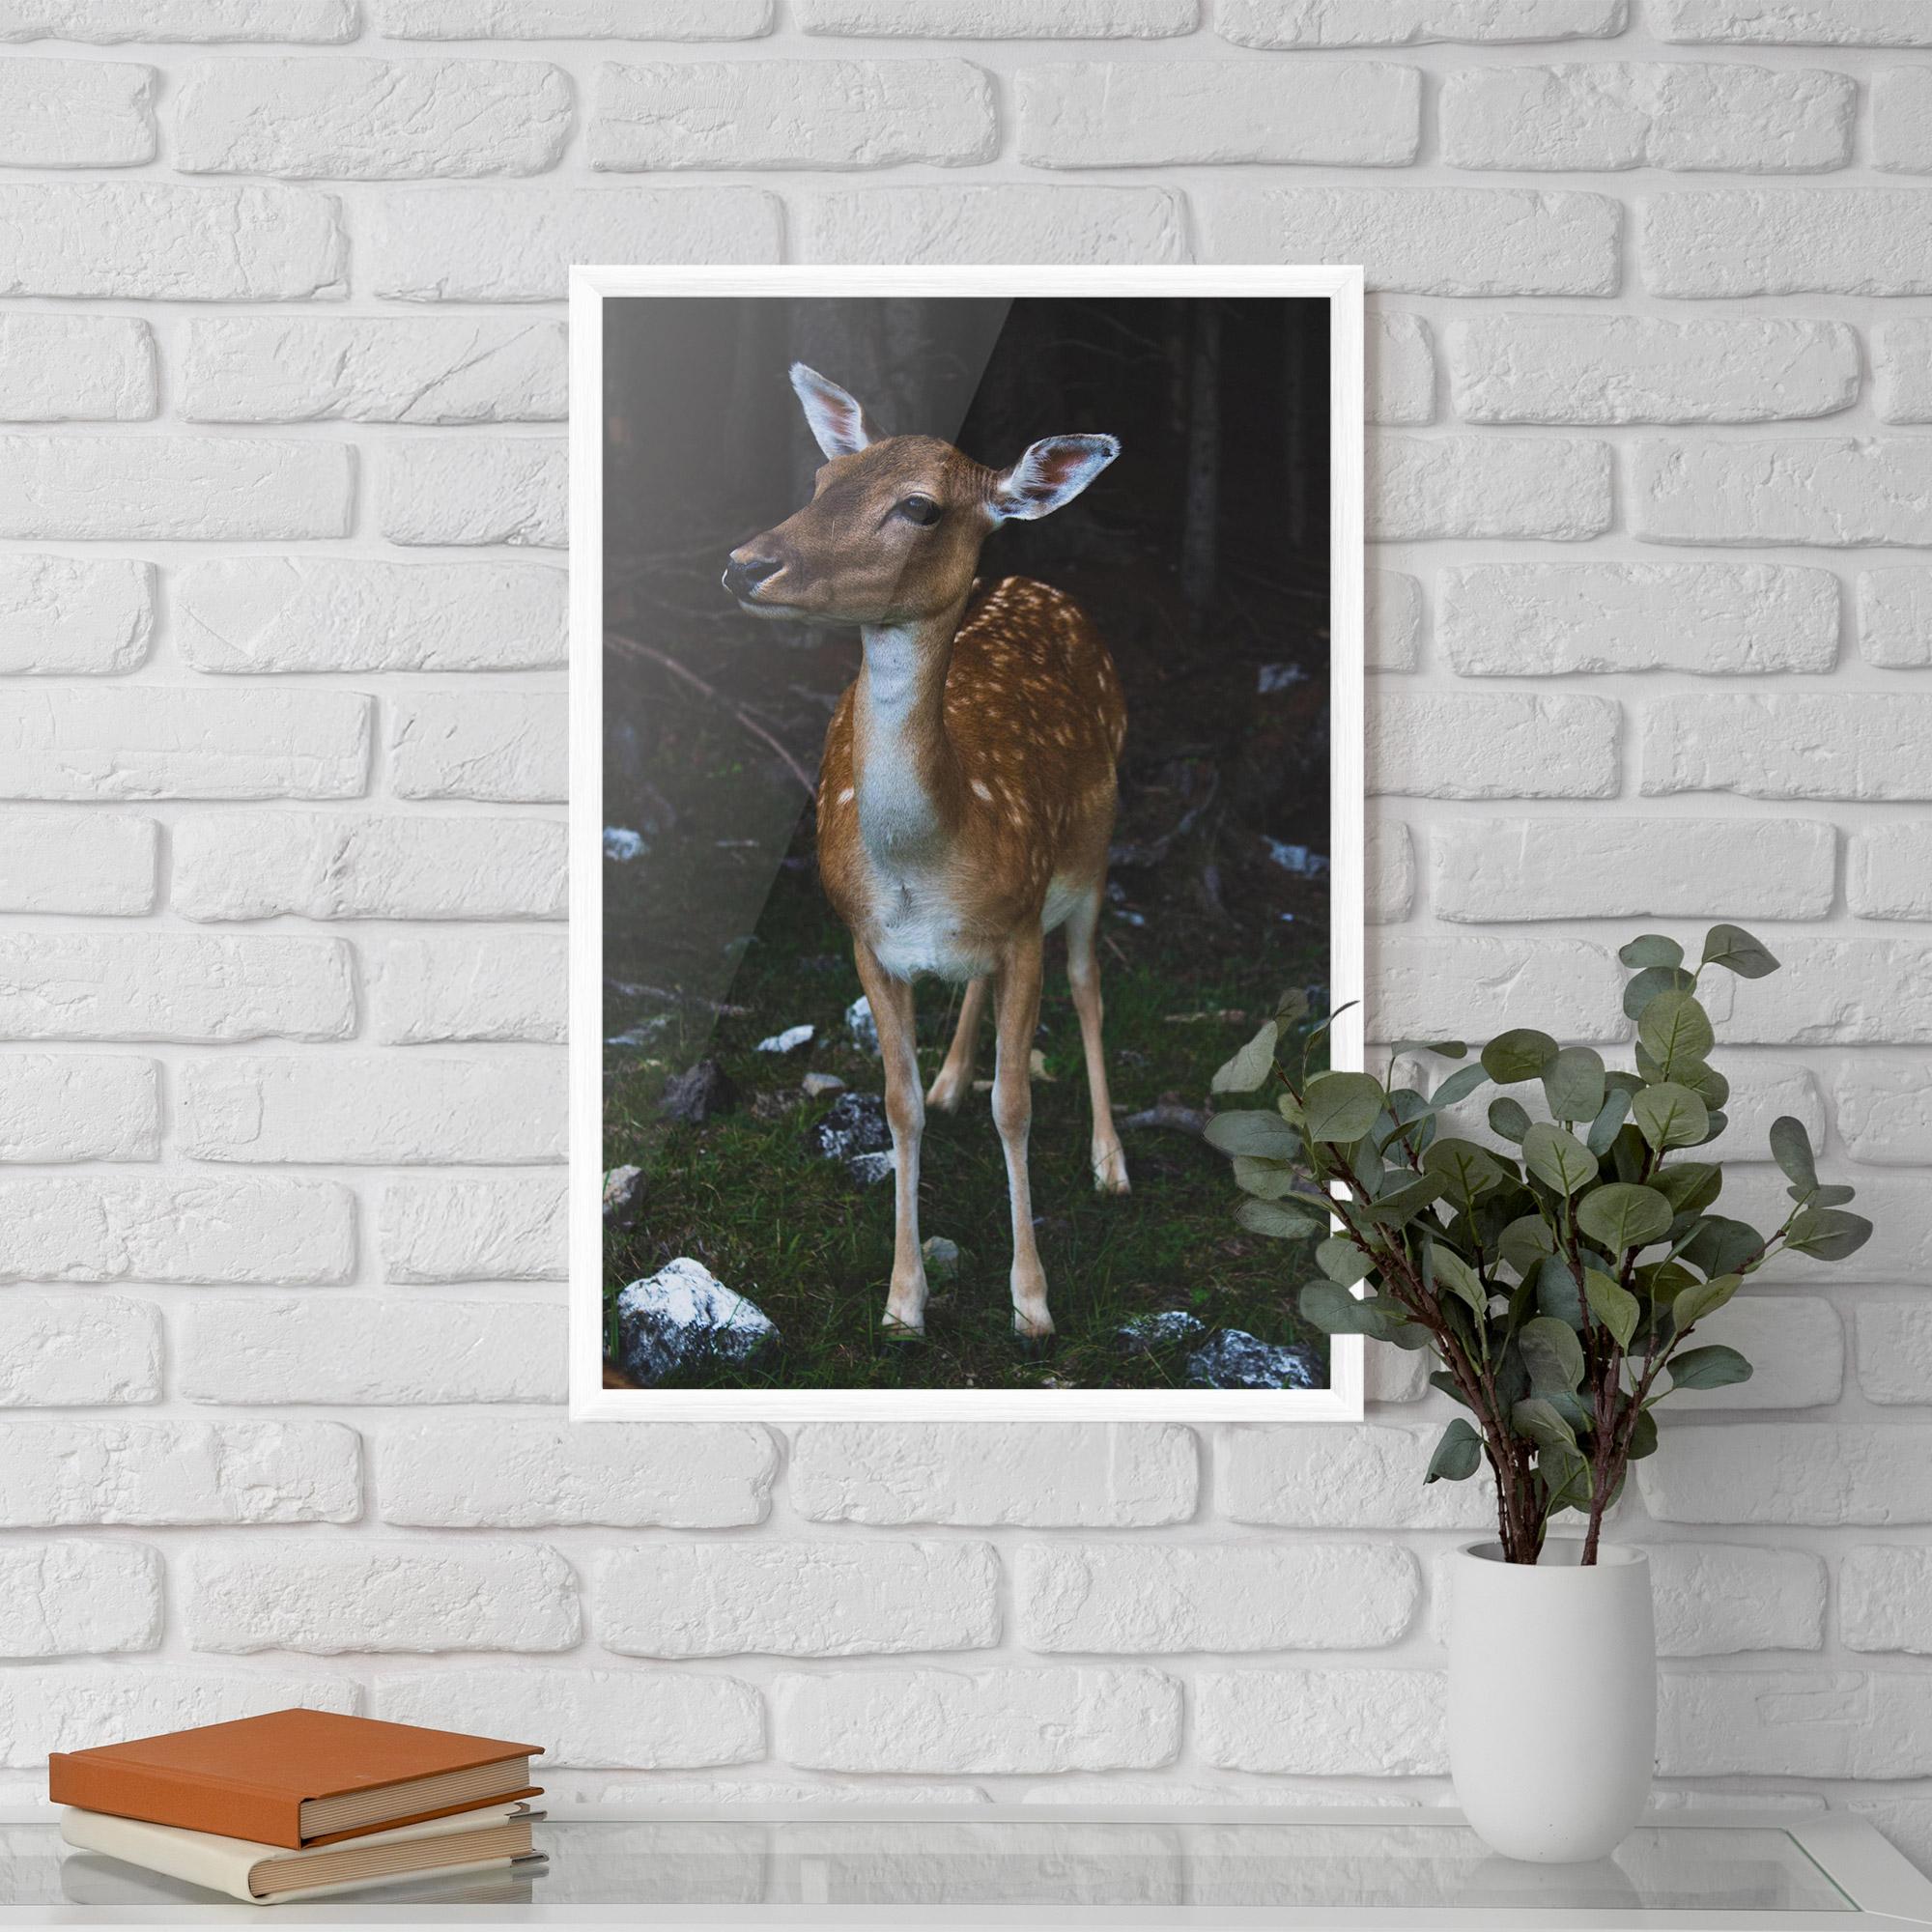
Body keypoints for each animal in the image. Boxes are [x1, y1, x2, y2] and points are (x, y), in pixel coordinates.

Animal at [722, 363, 1130, 1344]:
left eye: (919, 507)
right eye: (824, 480)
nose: (746, 563)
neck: (928, 860)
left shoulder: (1022, 922)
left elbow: (1015, 1105)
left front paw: (1032, 1301)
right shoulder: (866, 938)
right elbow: (896, 1105)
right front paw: (903, 1300)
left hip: (1093, 854)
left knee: (1089, 982)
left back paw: (1111, 1162)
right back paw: (952, 1079)